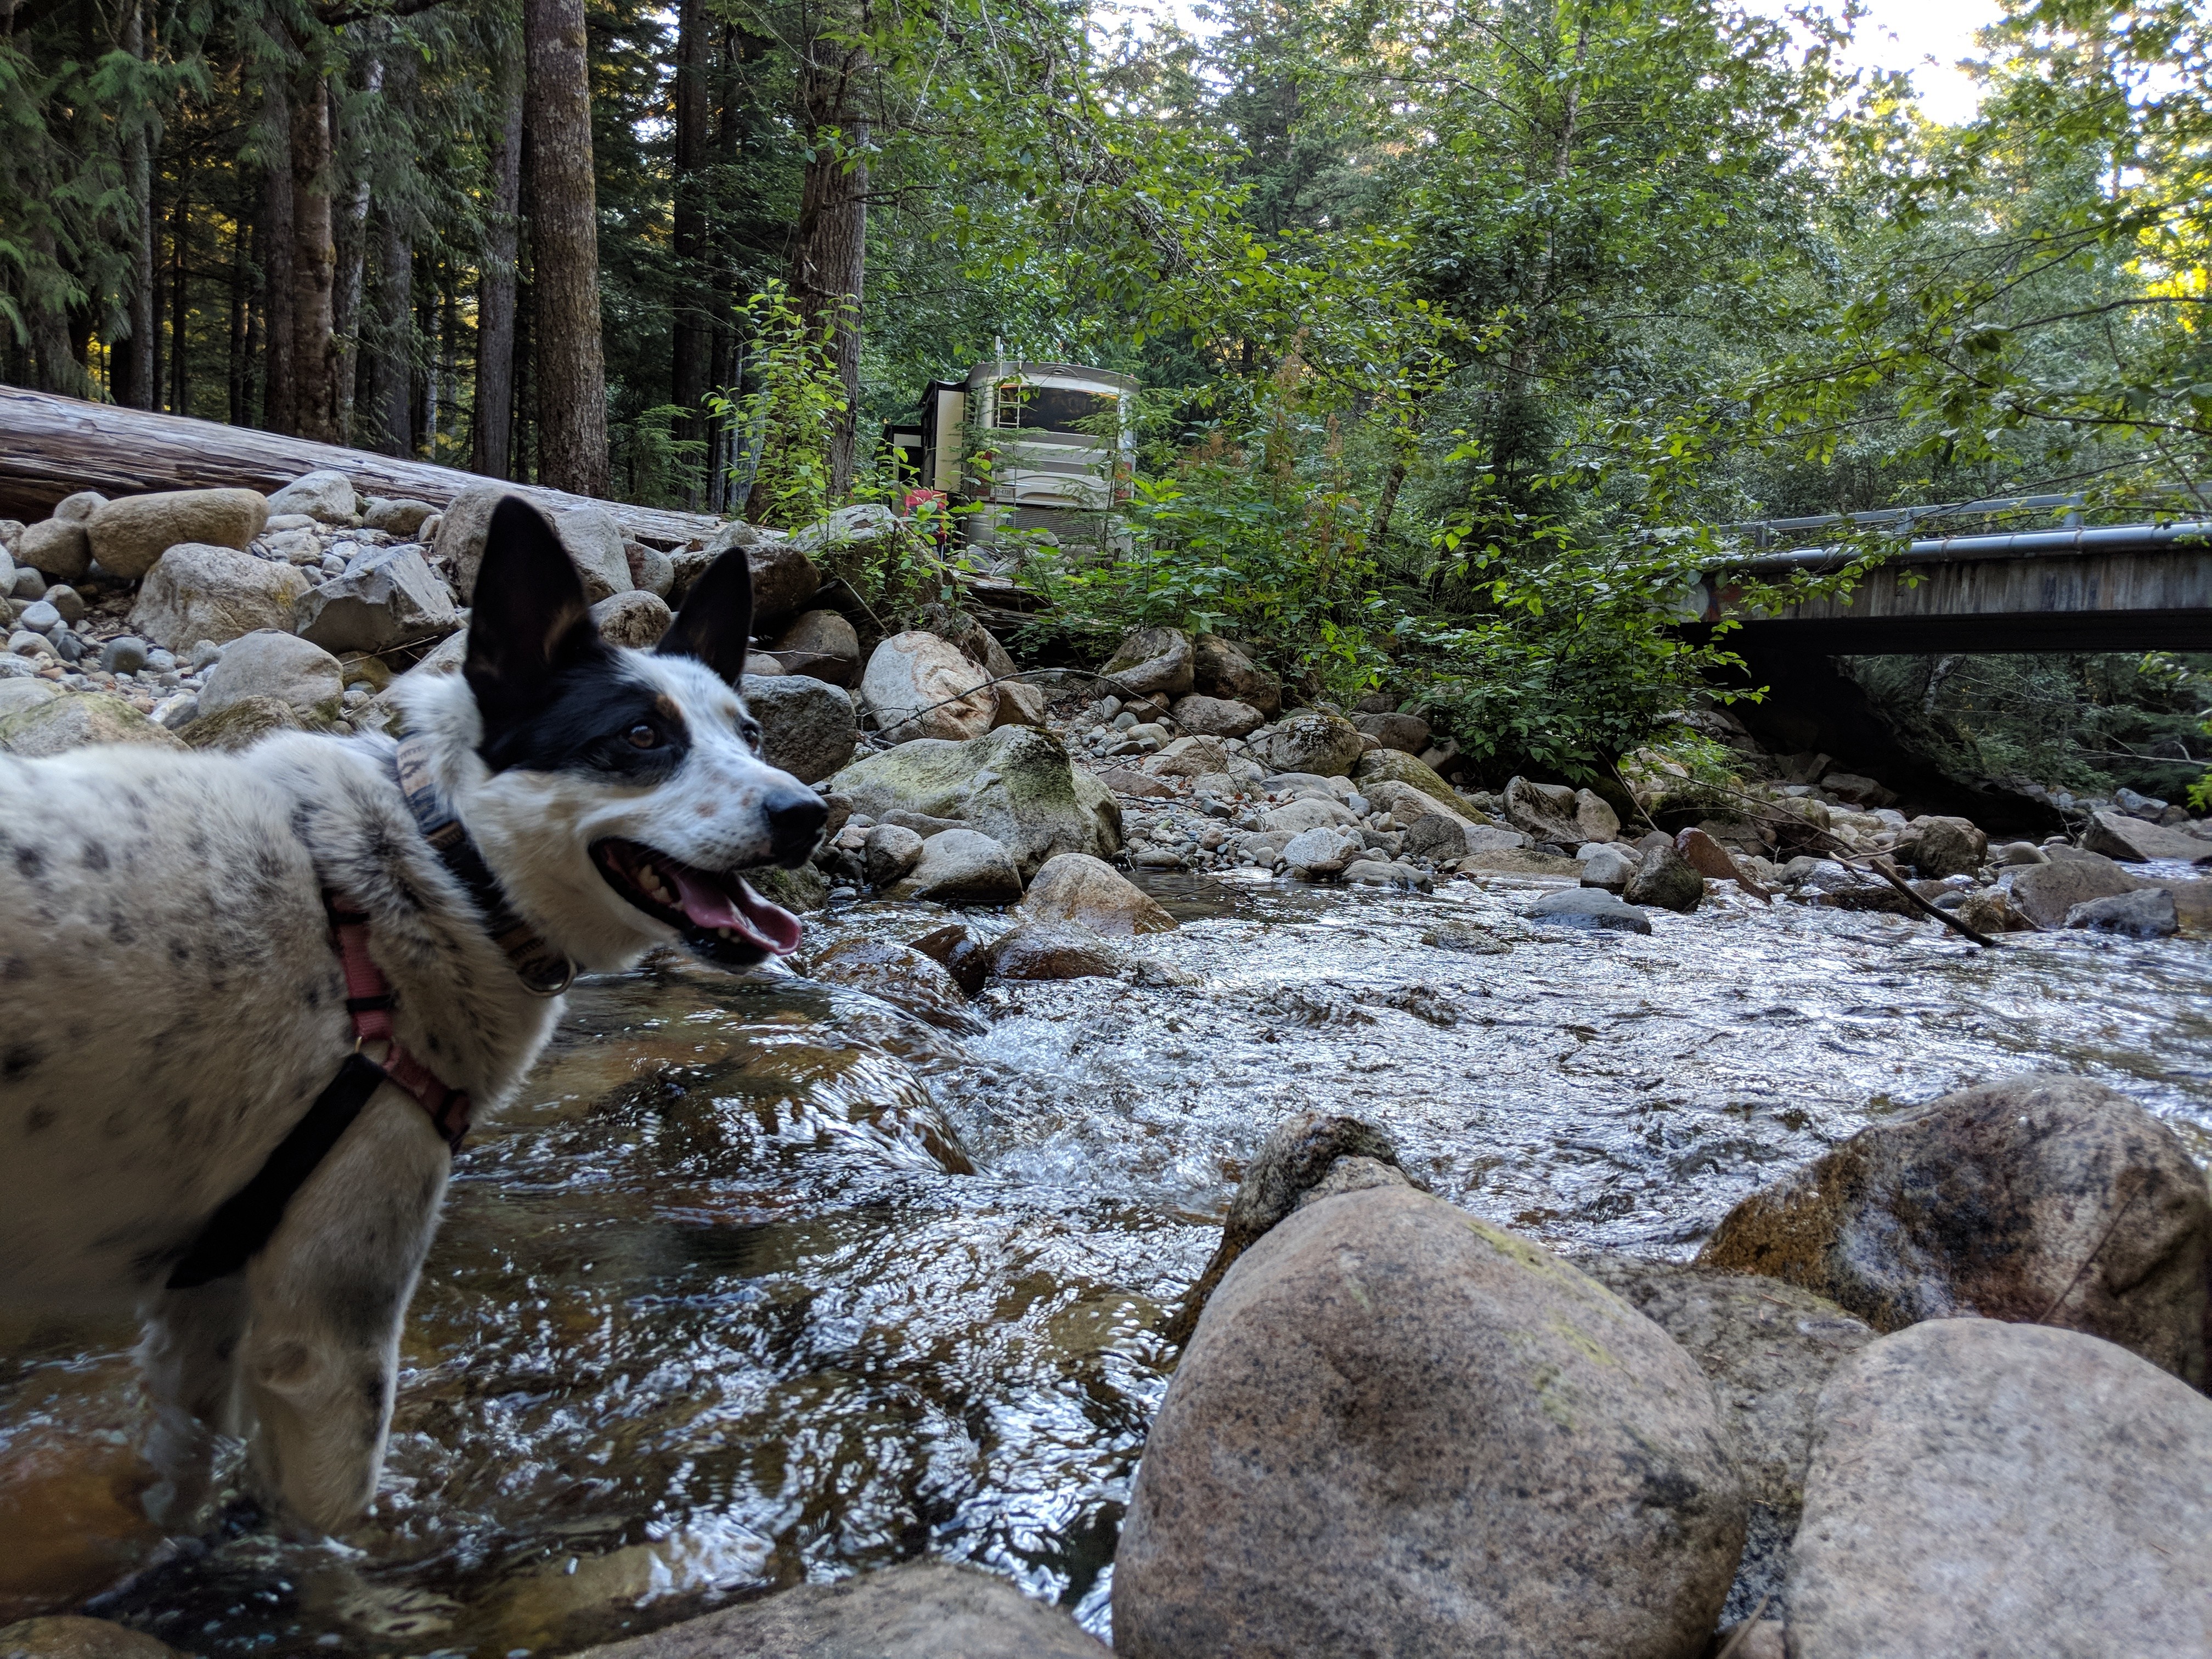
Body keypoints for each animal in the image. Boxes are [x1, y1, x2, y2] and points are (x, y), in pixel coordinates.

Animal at [0, 500, 832, 1539]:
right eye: (642, 734)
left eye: (751, 731)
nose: (809, 813)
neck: (439, 864)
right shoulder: (329, 1336)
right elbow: (331, 1529)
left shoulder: (206, 1300)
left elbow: (181, 1466)